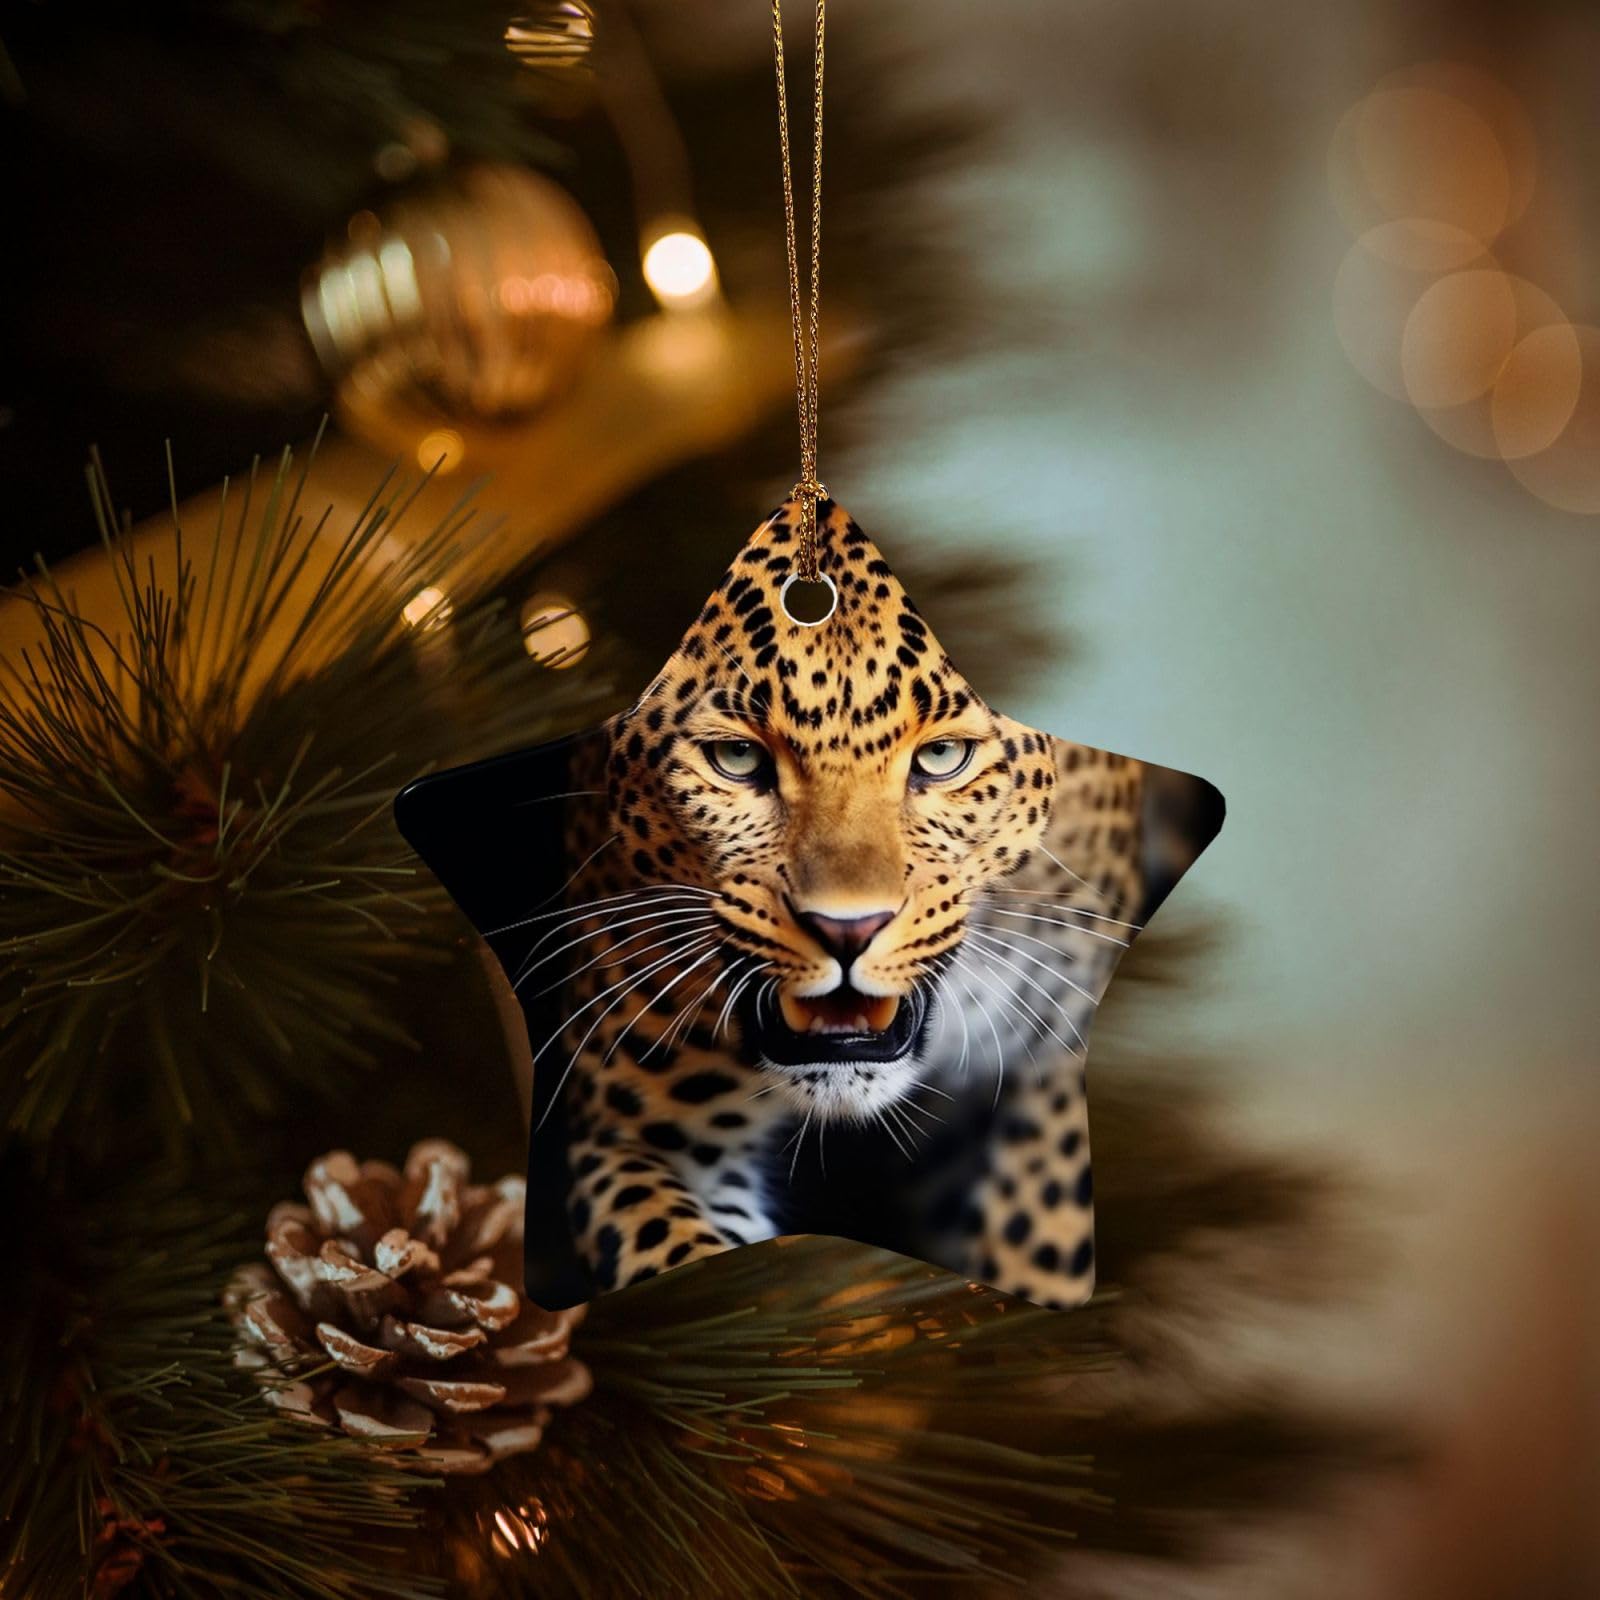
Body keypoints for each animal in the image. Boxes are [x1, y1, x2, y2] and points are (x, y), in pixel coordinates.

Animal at [518, 497, 1155, 1310]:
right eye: (737, 758)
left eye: (942, 757)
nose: (846, 930)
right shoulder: (633, 1127)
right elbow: (682, 1256)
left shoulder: (1049, 1062)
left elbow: (1040, 1227)